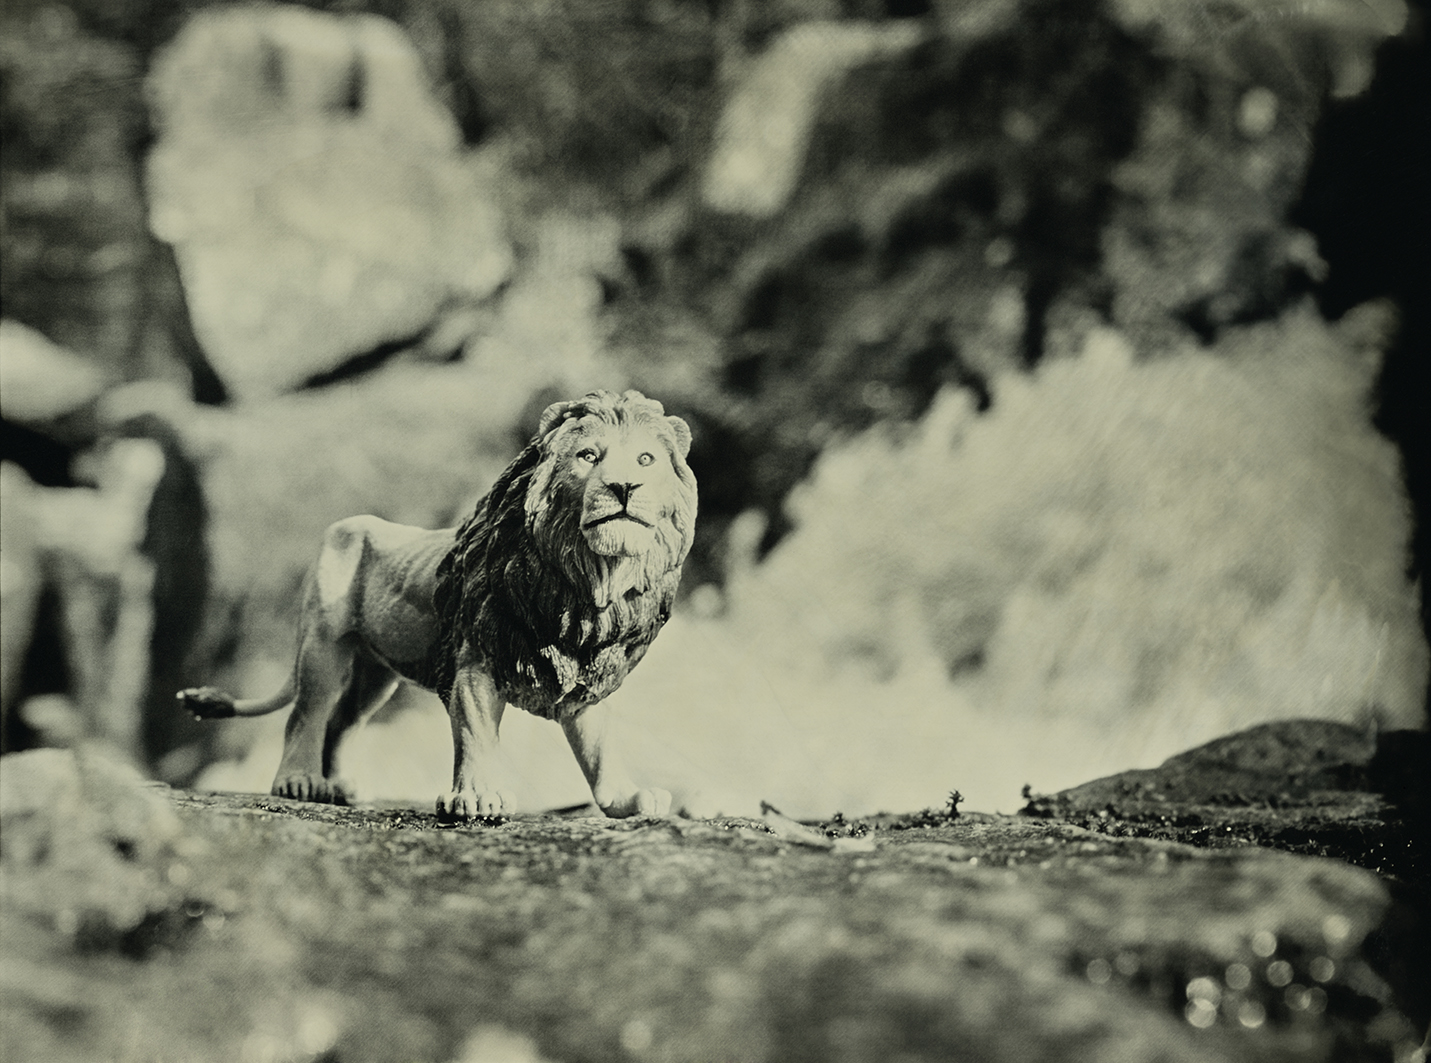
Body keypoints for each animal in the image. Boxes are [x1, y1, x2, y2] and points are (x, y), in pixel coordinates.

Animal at [178, 390, 697, 820]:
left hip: (376, 672)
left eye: (646, 460)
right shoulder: (475, 662)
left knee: (344, 720)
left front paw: (628, 800)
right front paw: (479, 798)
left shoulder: (585, 671)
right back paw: (299, 782)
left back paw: (343, 788)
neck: (584, 585)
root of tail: (341, 527)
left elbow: (600, 748)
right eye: (588, 456)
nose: (624, 488)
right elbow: (475, 734)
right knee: (307, 713)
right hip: (322, 649)